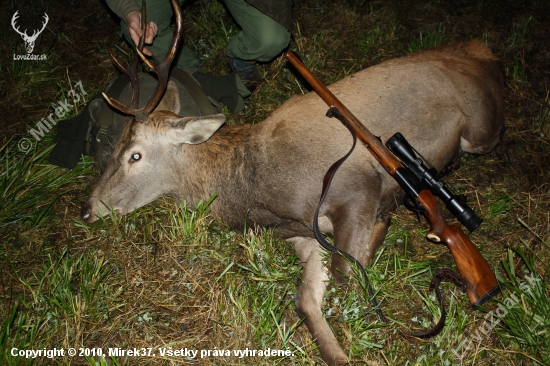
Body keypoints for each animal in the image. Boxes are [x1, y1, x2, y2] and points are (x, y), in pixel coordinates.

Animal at [81, 0, 504, 364]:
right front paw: (332, 350)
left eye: (134, 154)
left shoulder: (355, 187)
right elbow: (306, 297)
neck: (257, 193)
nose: (87, 209)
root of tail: (484, 52)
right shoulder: (304, 235)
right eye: (115, 146)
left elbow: (346, 273)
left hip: (479, 132)